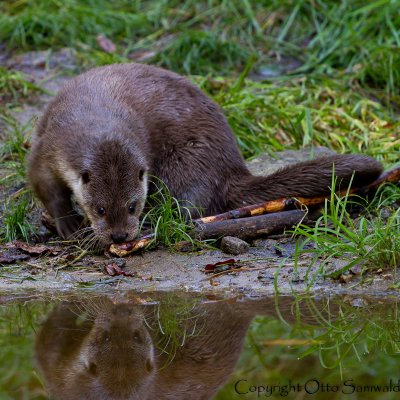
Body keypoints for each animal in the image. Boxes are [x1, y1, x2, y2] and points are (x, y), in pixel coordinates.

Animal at [26, 63, 382, 247]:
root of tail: (233, 168)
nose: (120, 236)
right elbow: (46, 188)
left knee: (193, 205)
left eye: (132, 205)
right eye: (99, 209)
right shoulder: (47, 147)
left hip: (187, 163)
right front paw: (68, 224)